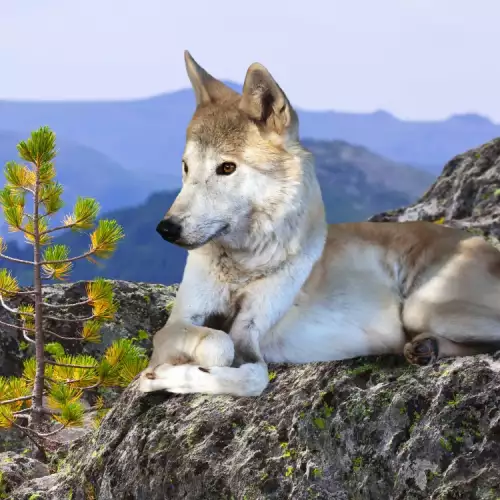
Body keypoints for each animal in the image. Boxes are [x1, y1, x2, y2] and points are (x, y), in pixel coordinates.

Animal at [139, 50, 500, 398]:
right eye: (186, 167)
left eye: (227, 168)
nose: (166, 228)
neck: (245, 265)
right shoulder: (179, 321)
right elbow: (217, 341)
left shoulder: (251, 332)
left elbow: (247, 372)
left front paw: (165, 376)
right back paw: (426, 348)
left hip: (421, 308)